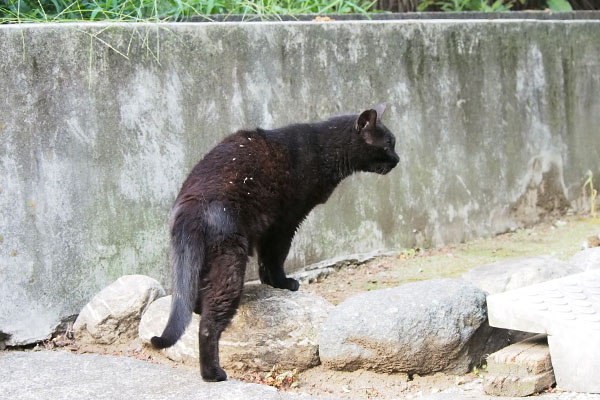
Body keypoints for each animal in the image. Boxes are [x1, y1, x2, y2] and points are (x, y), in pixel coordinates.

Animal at [152, 103, 400, 382]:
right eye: (388, 144)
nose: (398, 159)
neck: (323, 149)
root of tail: (191, 204)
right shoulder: (286, 221)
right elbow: (275, 257)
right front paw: (282, 283)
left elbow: (267, 259)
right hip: (230, 261)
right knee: (208, 323)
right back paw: (213, 373)